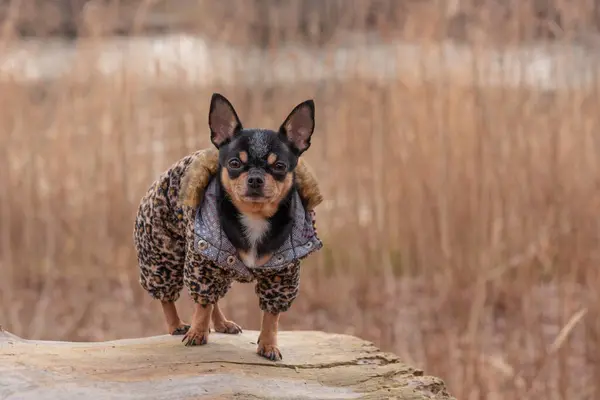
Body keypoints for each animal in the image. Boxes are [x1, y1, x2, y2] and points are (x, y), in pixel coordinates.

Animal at [134, 93, 324, 360]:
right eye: (234, 163)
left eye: (279, 166)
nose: (255, 178)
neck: (254, 217)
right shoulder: (203, 261)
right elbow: (202, 303)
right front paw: (197, 332)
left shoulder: (282, 274)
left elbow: (271, 316)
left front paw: (268, 345)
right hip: (163, 255)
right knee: (171, 295)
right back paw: (177, 324)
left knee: (214, 296)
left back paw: (221, 323)